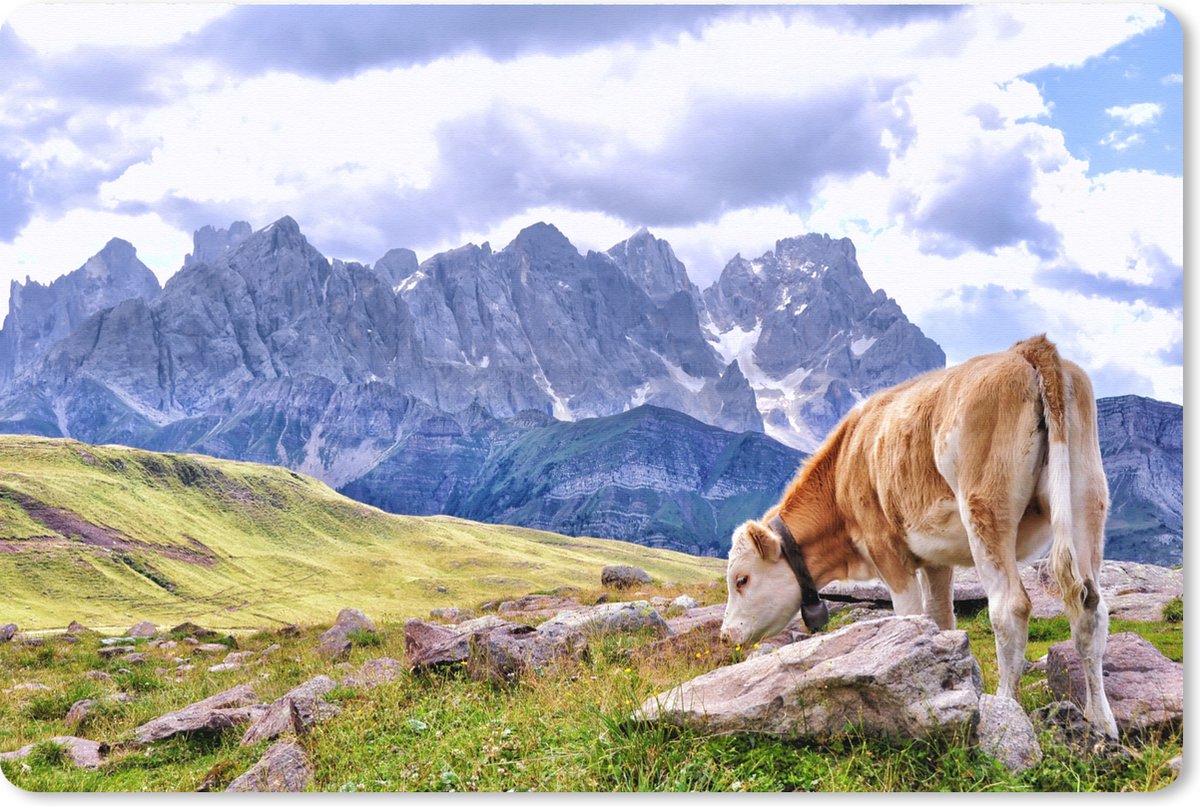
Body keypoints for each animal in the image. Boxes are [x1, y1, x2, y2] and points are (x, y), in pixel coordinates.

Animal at [719, 335, 1118, 737]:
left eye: (741, 579)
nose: (725, 635)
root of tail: (1027, 349)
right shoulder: (936, 560)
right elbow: (940, 621)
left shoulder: (886, 549)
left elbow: (909, 619)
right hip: (1087, 497)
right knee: (1090, 608)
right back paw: (1101, 721)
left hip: (987, 508)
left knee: (1010, 607)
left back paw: (1007, 708)